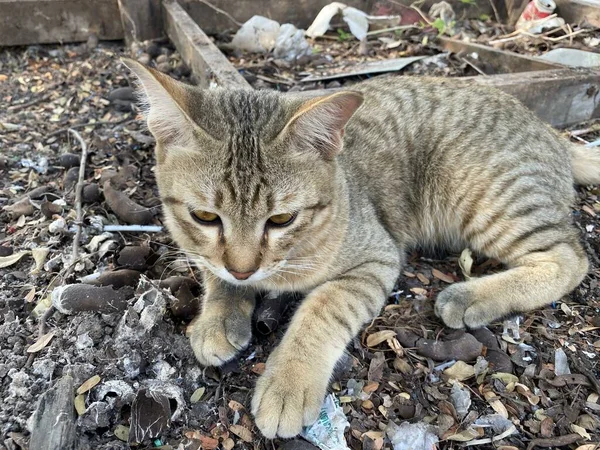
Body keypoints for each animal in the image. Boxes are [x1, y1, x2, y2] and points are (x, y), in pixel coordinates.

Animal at [123, 58, 600, 438]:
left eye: (281, 220)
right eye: (205, 217)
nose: (244, 271)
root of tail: (552, 133)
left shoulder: (376, 259)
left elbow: (322, 310)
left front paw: (289, 380)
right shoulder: (206, 250)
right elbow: (213, 270)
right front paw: (220, 312)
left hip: (488, 197)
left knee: (570, 259)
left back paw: (469, 296)